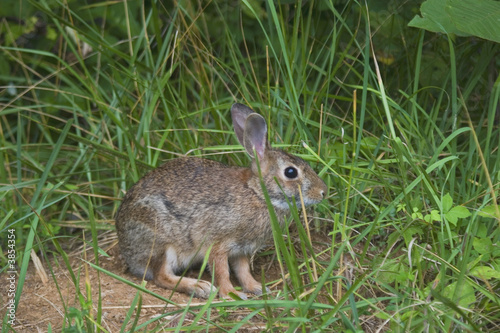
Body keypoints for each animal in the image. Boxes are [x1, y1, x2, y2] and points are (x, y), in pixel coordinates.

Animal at [115, 102, 330, 298]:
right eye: (291, 172)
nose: (323, 192)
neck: (257, 193)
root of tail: (127, 249)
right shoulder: (217, 243)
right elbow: (222, 271)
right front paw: (231, 294)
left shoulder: (240, 250)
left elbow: (243, 271)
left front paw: (257, 288)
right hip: (161, 241)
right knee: (161, 275)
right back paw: (199, 287)